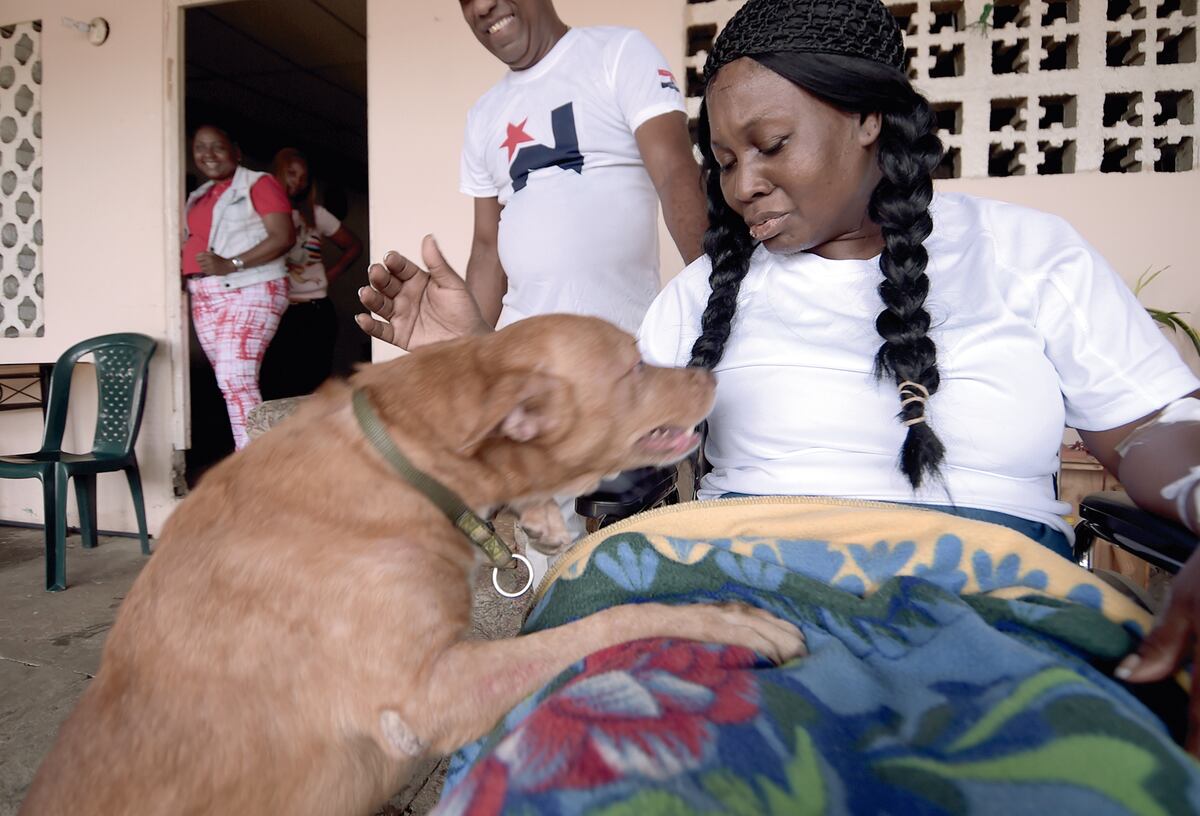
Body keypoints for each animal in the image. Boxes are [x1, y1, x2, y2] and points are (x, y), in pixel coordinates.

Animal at [18, 314, 801, 811]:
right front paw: (731, 621)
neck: (403, 465)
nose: (710, 372)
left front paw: (544, 520)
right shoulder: (430, 695)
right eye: (635, 365)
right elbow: (610, 624)